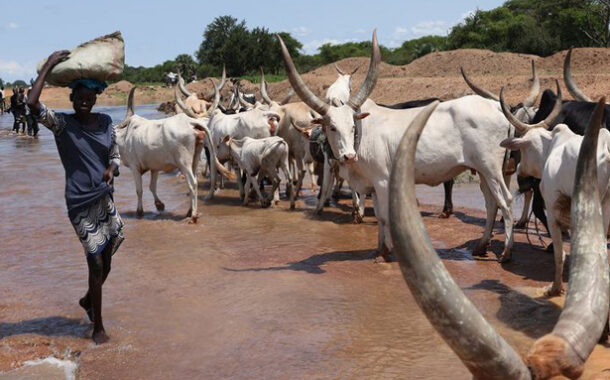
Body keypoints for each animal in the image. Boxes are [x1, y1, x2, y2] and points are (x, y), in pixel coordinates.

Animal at [116, 87, 233, 223]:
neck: (124, 136)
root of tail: (191, 122)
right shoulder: (154, 168)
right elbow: (152, 187)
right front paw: (159, 205)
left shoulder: (134, 167)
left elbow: (139, 190)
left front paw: (139, 212)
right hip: (194, 159)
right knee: (193, 182)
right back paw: (189, 211)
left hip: (184, 162)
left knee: (193, 183)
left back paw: (193, 215)